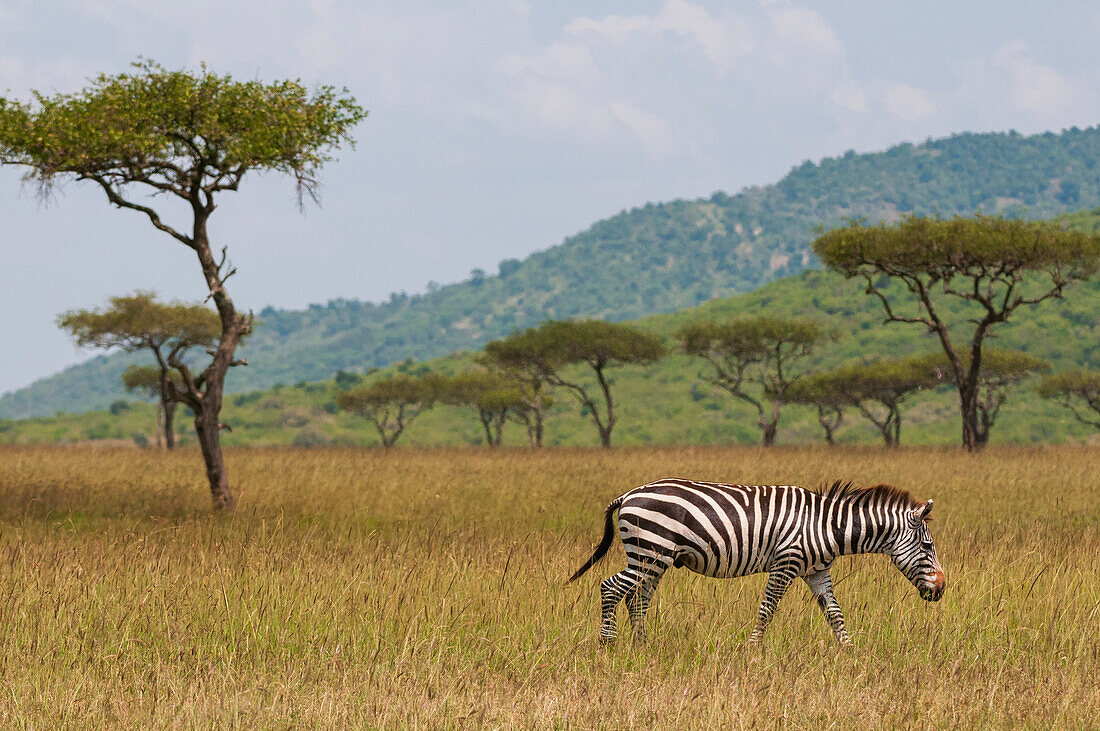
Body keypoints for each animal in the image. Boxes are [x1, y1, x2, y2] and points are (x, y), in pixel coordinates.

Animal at [567, 479, 946, 646]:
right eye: (928, 546)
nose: (942, 589)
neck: (827, 526)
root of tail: (628, 494)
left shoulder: (817, 571)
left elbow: (835, 614)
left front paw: (850, 653)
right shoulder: (787, 562)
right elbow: (767, 609)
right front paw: (753, 650)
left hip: (654, 558)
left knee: (637, 598)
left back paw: (642, 646)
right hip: (651, 551)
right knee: (611, 588)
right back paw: (608, 644)